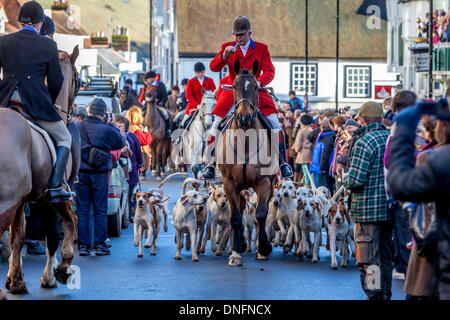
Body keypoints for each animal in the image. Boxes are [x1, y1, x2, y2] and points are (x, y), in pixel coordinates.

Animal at [0, 45, 80, 298]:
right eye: (78, 79)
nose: (73, 111)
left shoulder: (22, 200)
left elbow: (17, 238)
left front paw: (15, 280)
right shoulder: (54, 196)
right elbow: (64, 227)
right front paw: (60, 271)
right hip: (6, 202)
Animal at [215, 58, 276, 266]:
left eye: (256, 87)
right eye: (234, 86)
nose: (244, 117)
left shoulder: (264, 182)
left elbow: (261, 213)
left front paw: (264, 248)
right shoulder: (229, 183)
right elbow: (235, 218)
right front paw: (235, 253)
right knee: (240, 208)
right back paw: (240, 242)